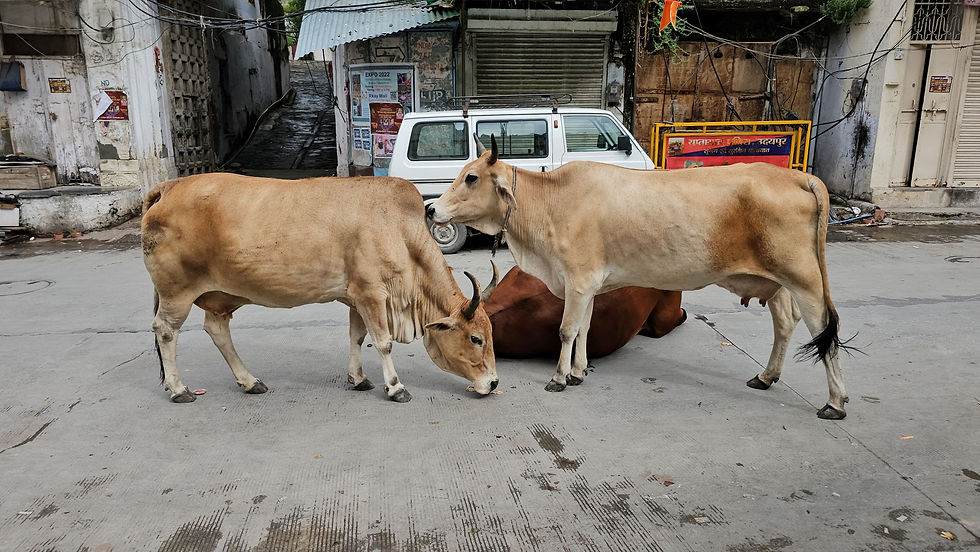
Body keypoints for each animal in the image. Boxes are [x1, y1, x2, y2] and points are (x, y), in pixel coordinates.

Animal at [142, 173, 499, 403]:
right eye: (476, 338)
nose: (494, 382)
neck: (400, 229)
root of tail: (168, 187)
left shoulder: (356, 298)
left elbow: (357, 337)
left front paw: (358, 379)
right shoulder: (372, 294)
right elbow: (383, 343)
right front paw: (396, 387)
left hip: (219, 296)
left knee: (217, 330)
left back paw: (250, 381)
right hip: (177, 293)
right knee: (165, 331)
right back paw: (179, 389)